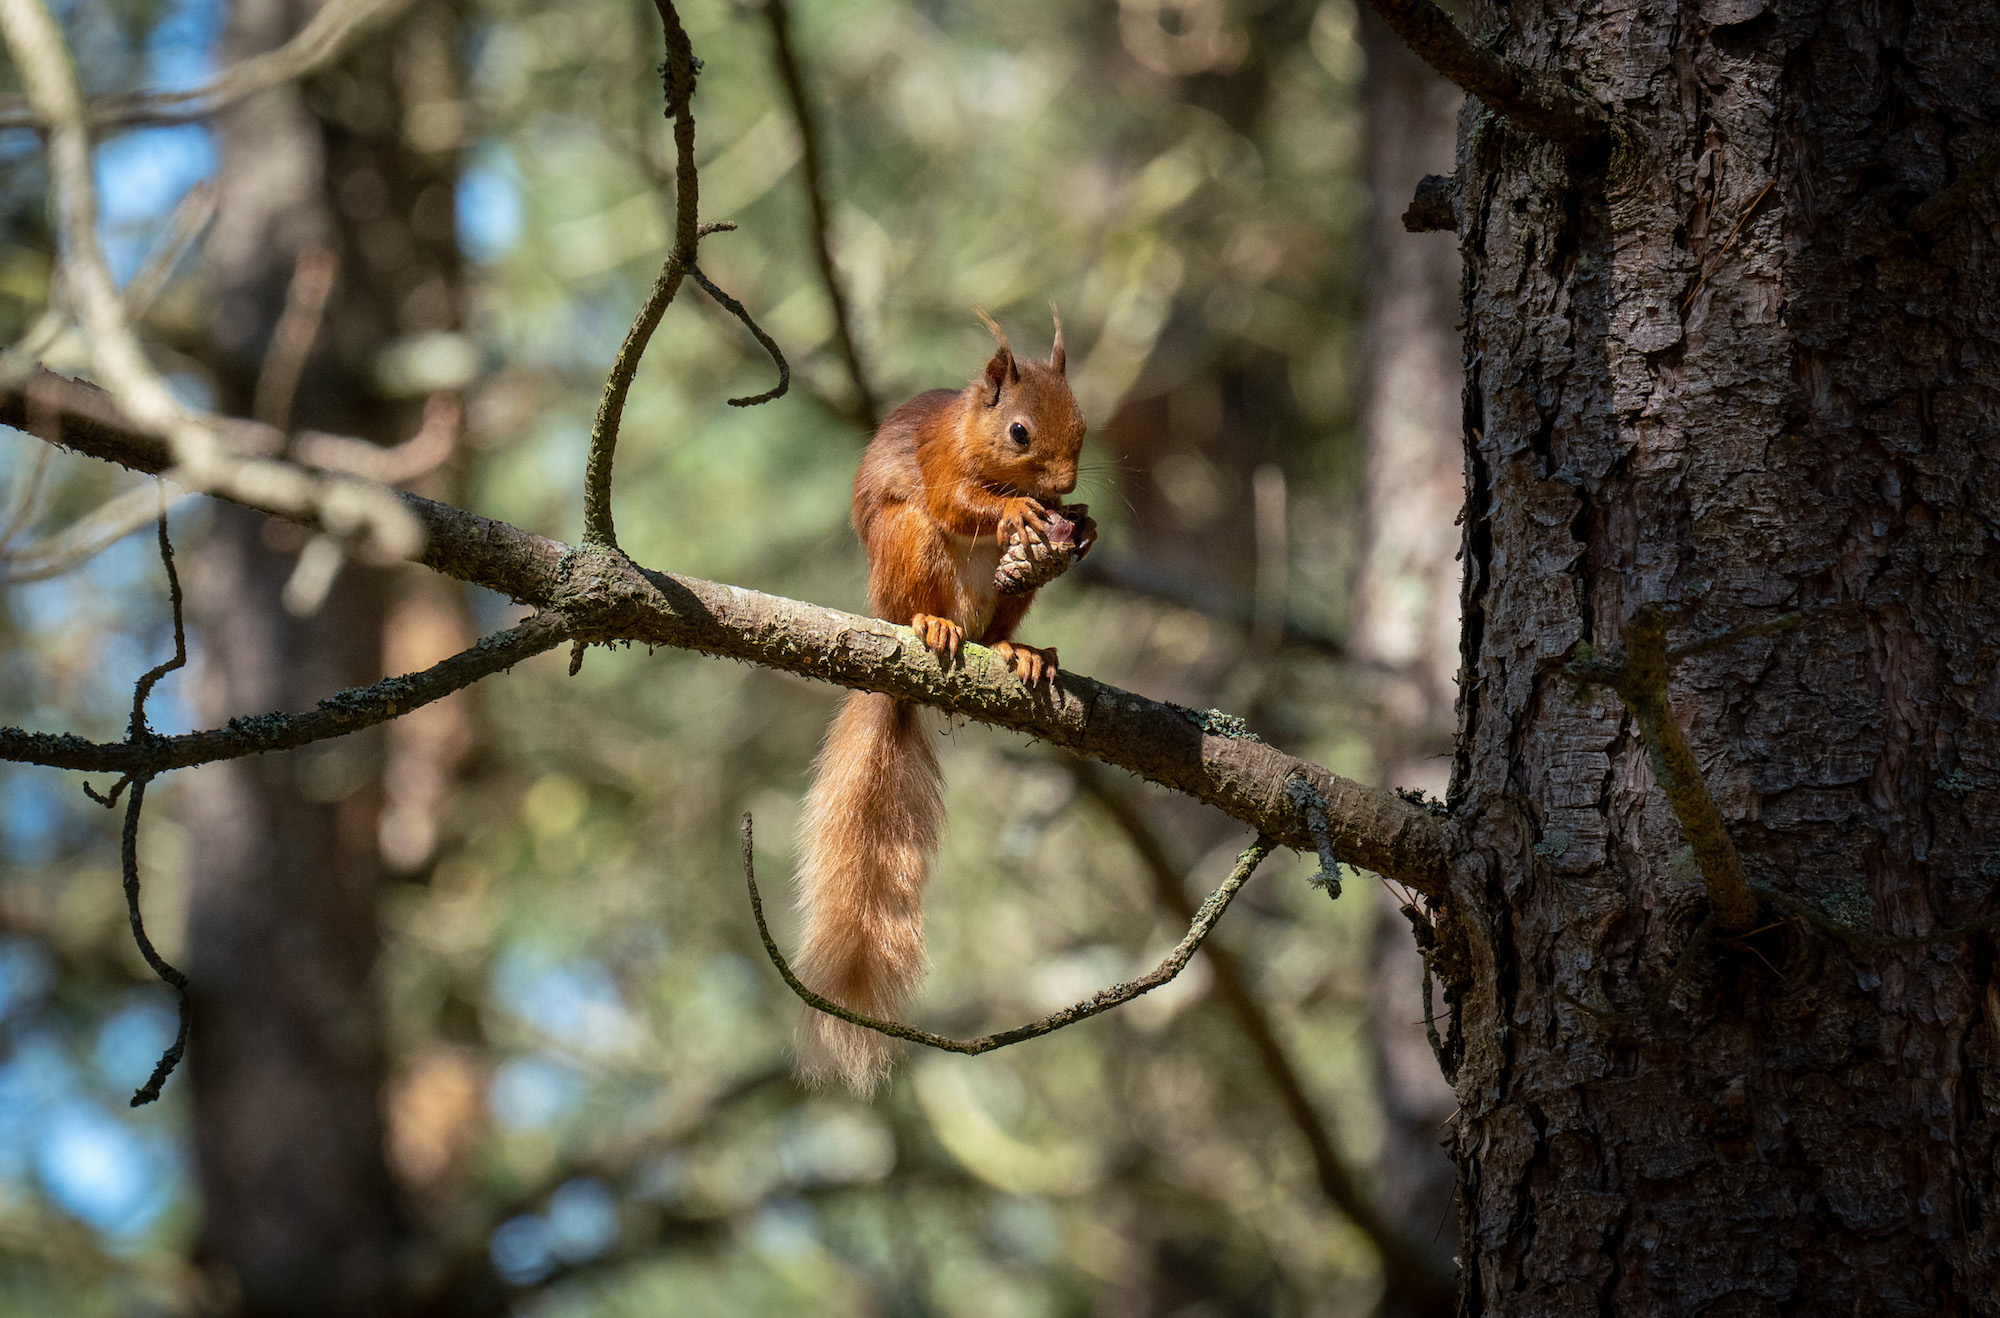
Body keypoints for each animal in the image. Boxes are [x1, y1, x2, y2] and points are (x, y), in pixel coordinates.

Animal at [788, 312, 1096, 1096]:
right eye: (1019, 431)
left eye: (1083, 424)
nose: (1065, 485)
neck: (971, 435)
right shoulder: (938, 463)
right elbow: (963, 503)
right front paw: (1015, 509)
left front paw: (1082, 522)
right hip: (910, 547)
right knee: (930, 585)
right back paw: (933, 626)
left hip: (1010, 596)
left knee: (998, 630)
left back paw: (1023, 652)